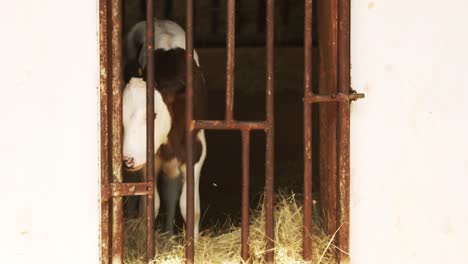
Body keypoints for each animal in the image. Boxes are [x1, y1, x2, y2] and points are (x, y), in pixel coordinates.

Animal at [122, 18, 207, 237]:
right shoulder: (149, 160)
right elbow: (149, 206)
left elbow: (190, 208)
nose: (127, 159)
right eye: (121, 115)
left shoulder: (196, 152)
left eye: (152, 114)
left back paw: (168, 234)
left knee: (171, 191)